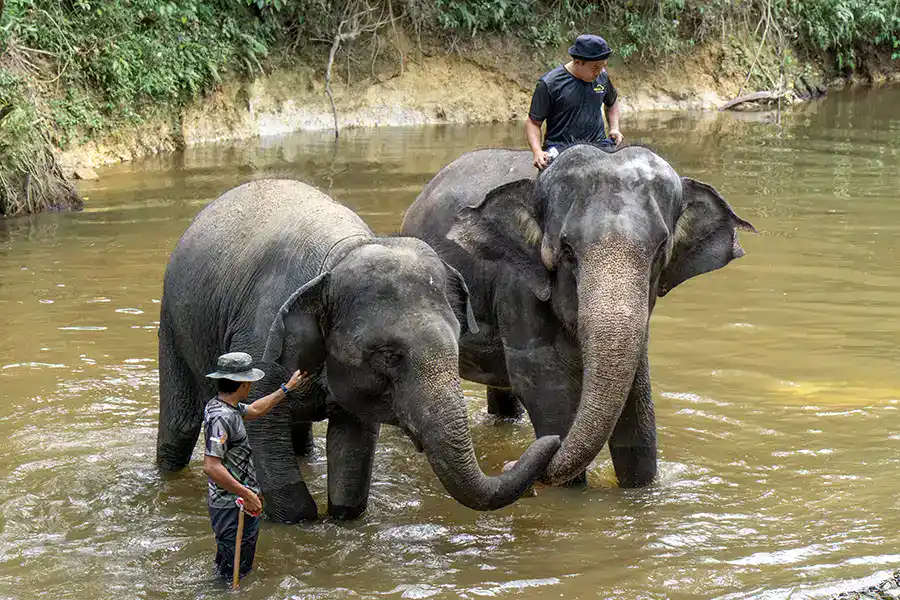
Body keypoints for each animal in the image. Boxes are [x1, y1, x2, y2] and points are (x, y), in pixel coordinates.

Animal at [155, 178, 560, 523]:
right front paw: (298, 521)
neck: (340, 256)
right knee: (180, 423)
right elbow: (264, 426)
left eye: (456, 346)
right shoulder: (259, 338)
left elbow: (354, 451)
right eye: (388, 355)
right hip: (173, 323)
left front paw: (342, 516)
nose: (551, 441)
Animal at [401, 144, 755, 487]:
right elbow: (545, 386)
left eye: (660, 251)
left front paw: (641, 490)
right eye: (568, 251)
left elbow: (636, 396)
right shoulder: (518, 288)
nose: (510, 464)